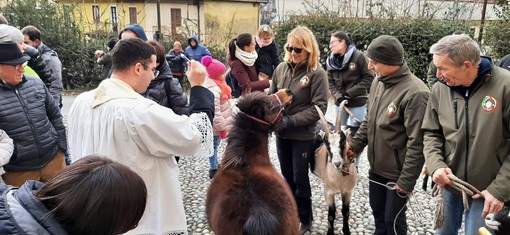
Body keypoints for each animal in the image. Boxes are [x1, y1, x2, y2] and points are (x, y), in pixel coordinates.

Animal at [310, 101, 358, 235]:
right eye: (327, 144)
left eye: (343, 142)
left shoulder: (348, 192)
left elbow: (346, 212)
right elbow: (331, 215)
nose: (336, 163)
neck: (340, 181)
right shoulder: (328, 192)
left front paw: (347, 231)